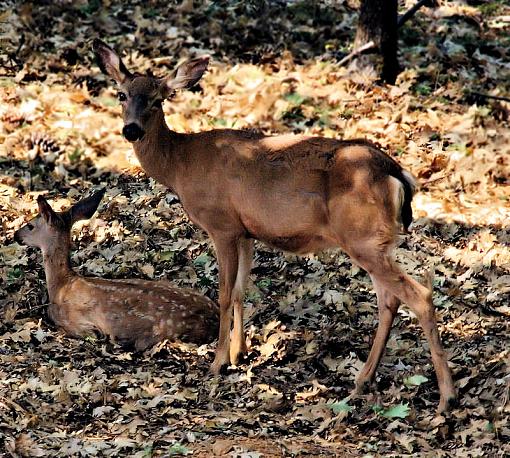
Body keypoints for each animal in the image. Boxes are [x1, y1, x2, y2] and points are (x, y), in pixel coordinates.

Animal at [93, 39, 456, 412]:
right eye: (121, 94)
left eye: (157, 99)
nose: (131, 129)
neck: (180, 165)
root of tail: (397, 174)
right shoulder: (245, 231)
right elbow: (241, 289)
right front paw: (239, 353)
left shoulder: (221, 224)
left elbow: (224, 293)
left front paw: (217, 362)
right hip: (373, 240)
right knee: (389, 301)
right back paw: (363, 380)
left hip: (362, 237)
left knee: (420, 295)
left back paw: (446, 397)